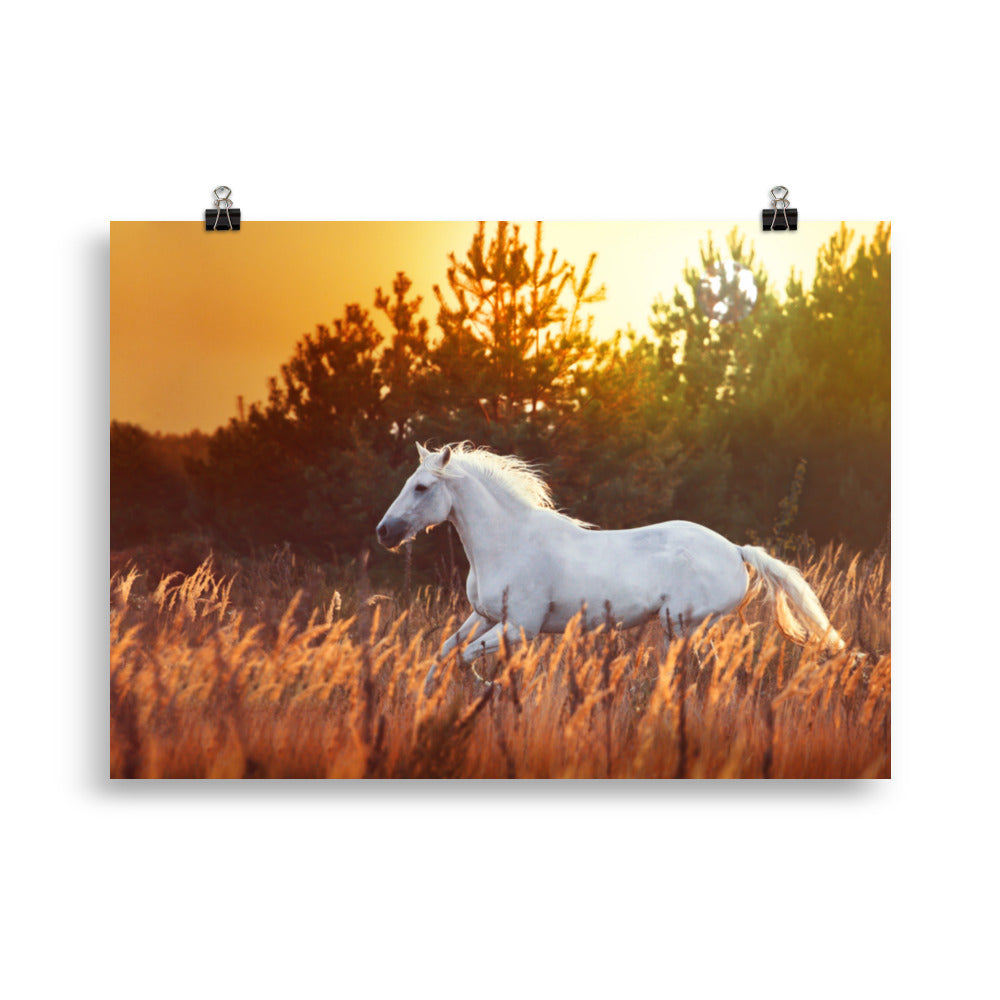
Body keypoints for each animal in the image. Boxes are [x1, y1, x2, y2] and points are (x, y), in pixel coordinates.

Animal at [376, 443, 844, 684]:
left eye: (421, 487)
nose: (384, 532)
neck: (509, 542)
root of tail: (735, 549)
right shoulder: (484, 615)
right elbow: (445, 652)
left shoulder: (520, 627)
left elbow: (466, 657)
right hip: (679, 630)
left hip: (683, 625)